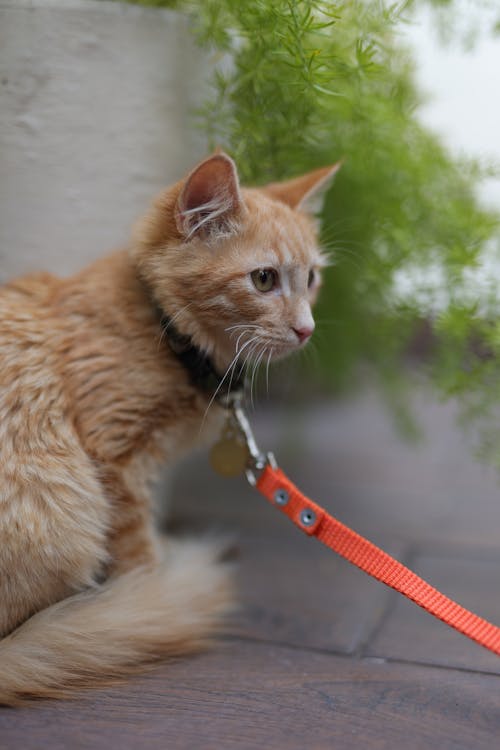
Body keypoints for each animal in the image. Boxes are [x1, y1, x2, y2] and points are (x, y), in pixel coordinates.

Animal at [0, 153, 338, 704]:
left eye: (310, 278)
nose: (306, 329)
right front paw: (150, 594)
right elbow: (138, 549)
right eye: (265, 279)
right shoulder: (113, 457)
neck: (167, 334)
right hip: (69, 514)